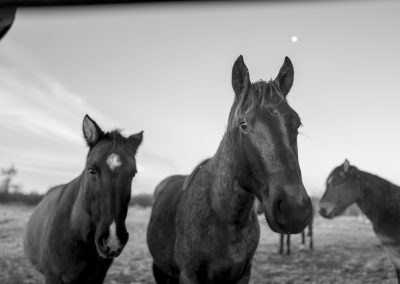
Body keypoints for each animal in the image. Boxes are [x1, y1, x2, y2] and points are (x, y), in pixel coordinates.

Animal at [146, 55, 312, 284]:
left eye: (297, 124)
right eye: (243, 124)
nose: (295, 210)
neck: (224, 217)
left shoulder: (244, 273)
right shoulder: (188, 274)